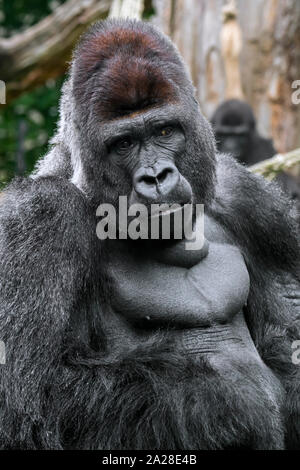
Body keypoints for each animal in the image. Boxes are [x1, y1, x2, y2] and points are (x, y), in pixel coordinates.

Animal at [0, 19, 300, 452]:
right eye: (124, 142)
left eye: (164, 130)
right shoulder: (40, 216)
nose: (157, 176)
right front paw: (232, 400)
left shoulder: (248, 197)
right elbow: (27, 399)